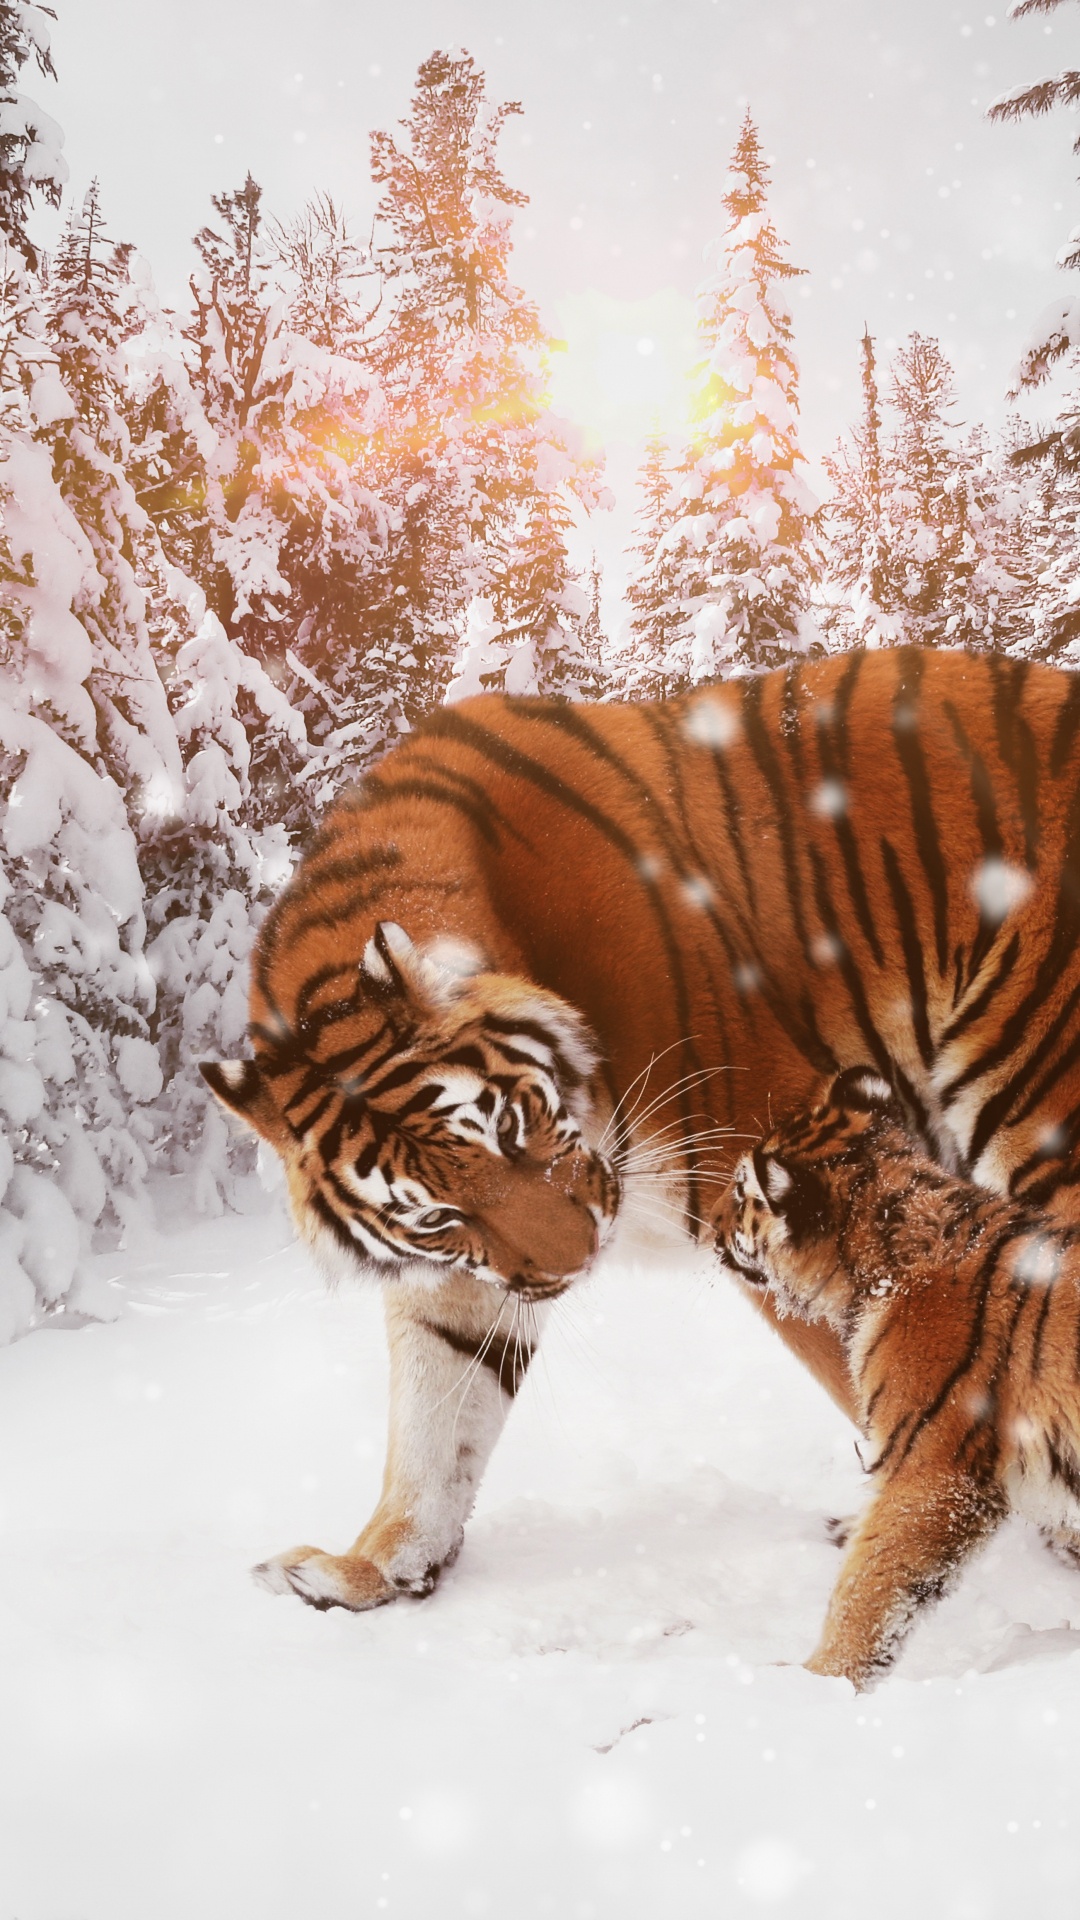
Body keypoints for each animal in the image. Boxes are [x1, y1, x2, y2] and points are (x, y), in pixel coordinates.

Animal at [202, 644, 1080, 1616]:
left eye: (512, 1126)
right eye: (436, 1216)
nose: (580, 1260)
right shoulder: (465, 1275)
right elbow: (435, 1419)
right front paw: (371, 1569)